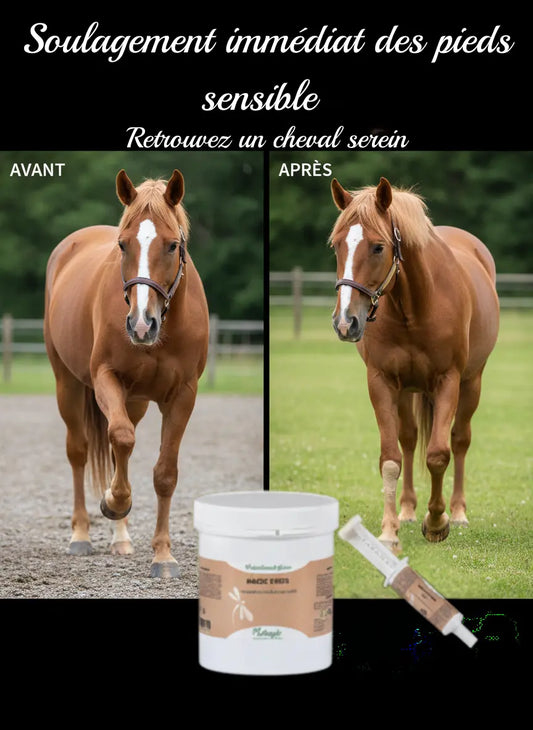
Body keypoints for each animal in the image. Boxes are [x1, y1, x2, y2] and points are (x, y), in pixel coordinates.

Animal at [44, 169, 209, 577]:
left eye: (172, 245)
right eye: (122, 245)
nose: (140, 324)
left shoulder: (183, 395)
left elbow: (164, 472)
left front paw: (163, 555)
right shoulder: (106, 378)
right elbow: (120, 438)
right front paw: (114, 502)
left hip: (134, 400)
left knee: (120, 451)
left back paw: (121, 538)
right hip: (68, 385)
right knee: (81, 450)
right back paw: (81, 534)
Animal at [330, 176, 499, 552]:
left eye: (378, 247)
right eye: (336, 246)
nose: (346, 323)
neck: (417, 306)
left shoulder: (448, 380)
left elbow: (438, 454)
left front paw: (437, 522)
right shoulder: (381, 382)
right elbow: (390, 458)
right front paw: (389, 530)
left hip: (472, 383)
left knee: (460, 440)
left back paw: (458, 512)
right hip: (407, 390)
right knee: (408, 440)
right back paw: (407, 509)